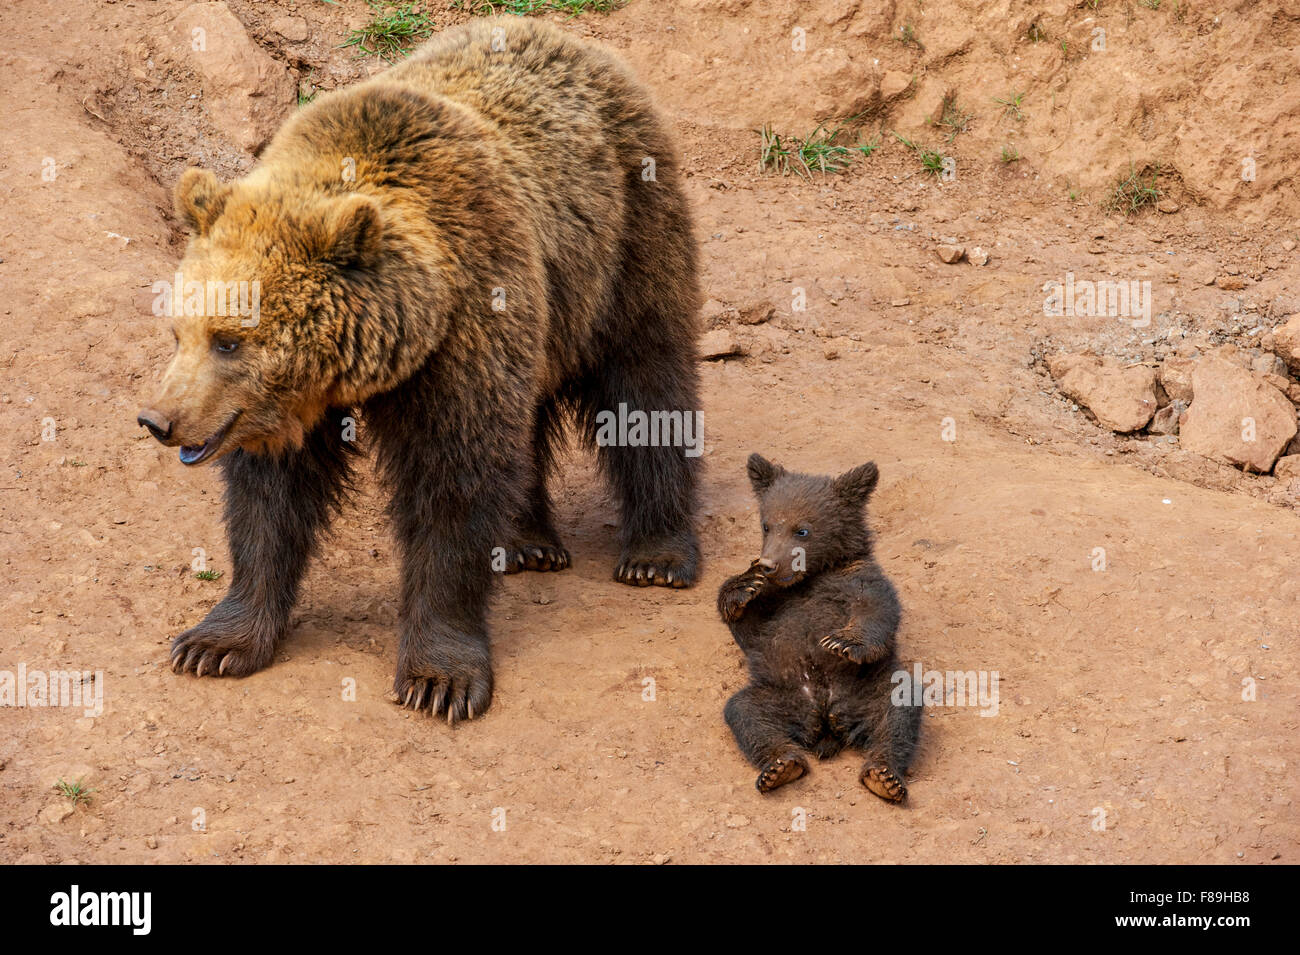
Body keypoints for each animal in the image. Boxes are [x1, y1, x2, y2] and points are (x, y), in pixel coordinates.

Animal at [136, 17, 702, 723]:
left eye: (229, 341)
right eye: (179, 331)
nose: (159, 420)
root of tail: (569, 39)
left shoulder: (466, 331)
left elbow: (453, 483)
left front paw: (440, 679)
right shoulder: (290, 411)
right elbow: (270, 500)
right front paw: (216, 642)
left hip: (625, 237)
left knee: (647, 380)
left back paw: (657, 552)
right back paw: (528, 541)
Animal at [717, 454, 921, 802]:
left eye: (802, 530)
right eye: (767, 525)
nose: (769, 564)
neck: (809, 578)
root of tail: (825, 721)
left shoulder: (858, 580)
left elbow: (875, 612)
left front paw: (845, 642)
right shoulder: (777, 602)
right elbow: (751, 631)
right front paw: (741, 587)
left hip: (866, 688)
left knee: (898, 708)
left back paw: (884, 775)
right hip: (780, 693)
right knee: (746, 713)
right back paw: (779, 767)